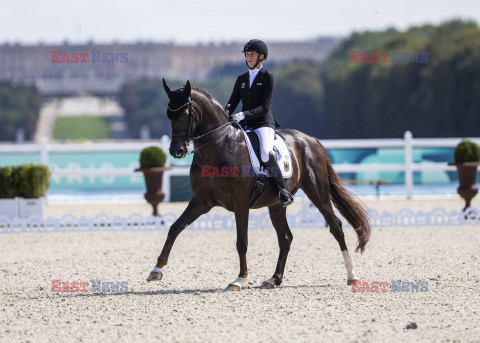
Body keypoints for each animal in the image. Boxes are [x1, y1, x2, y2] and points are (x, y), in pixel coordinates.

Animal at [146, 79, 372, 292]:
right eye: (168, 114)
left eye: (186, 114)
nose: (176, 151)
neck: (219, 146)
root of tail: (311, 139)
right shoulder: (201, 201)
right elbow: (175, 228)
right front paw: (157, 269)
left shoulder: (240, 204)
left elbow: (242, 242)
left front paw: (239, 279)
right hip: (277, 205)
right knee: (286, 237)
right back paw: (274, 279)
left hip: (318, 193)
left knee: (336, 227)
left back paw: (352, 275)